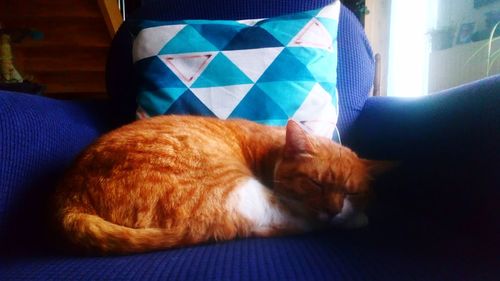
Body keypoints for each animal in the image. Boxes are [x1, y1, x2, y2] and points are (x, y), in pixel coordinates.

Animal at [53, 115, 382, 255]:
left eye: (352, 192)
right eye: (315, 183)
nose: (335, 209)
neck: (272, 149)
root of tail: (69, 198)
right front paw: (354, 218)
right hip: (235, 190)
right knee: (258, 223)